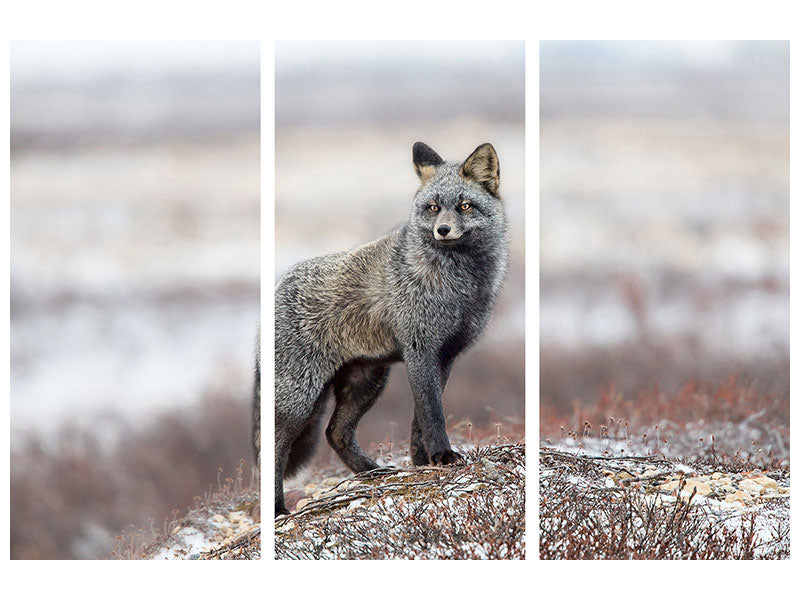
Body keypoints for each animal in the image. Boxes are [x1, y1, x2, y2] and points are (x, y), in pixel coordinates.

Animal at [260, 142, 510, 516]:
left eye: (465, 206)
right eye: (433, 208)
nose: (442, 230)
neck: (458, 285)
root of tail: (280, 284)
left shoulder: (446, 355)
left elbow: (420, 418)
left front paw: (423, 461)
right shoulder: (420, 349)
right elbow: (433, 413)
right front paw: (442, 455)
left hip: (367, 382)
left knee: (336, 433)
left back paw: (373, 473)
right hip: (300, 400)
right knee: (274, 449)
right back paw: (277, 510)